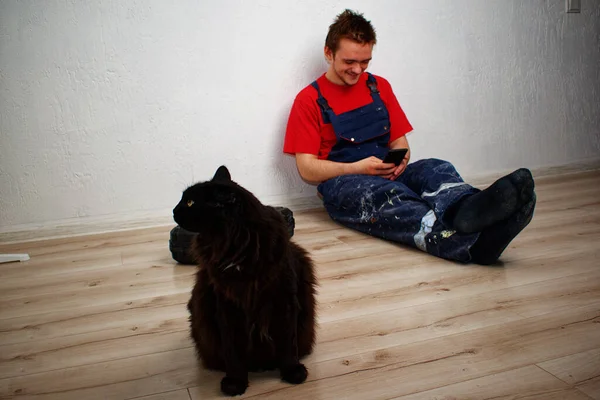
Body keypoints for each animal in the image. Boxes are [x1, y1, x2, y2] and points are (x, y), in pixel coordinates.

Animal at [171, 166, 316, 396]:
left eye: (190, 202)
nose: (173, 211)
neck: (236, 250)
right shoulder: (227, 305)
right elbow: (233, 350)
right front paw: (235, 382)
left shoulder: (284, 299)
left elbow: (288, 342)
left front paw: (293, 372)